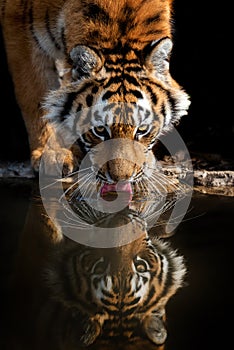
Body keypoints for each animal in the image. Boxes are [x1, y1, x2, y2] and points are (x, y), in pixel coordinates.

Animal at [0, 0, 190, 194]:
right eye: (99, 130)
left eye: (142, 129)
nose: (121, 180)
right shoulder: (21, 28)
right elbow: (37, 96)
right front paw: (53, 153)